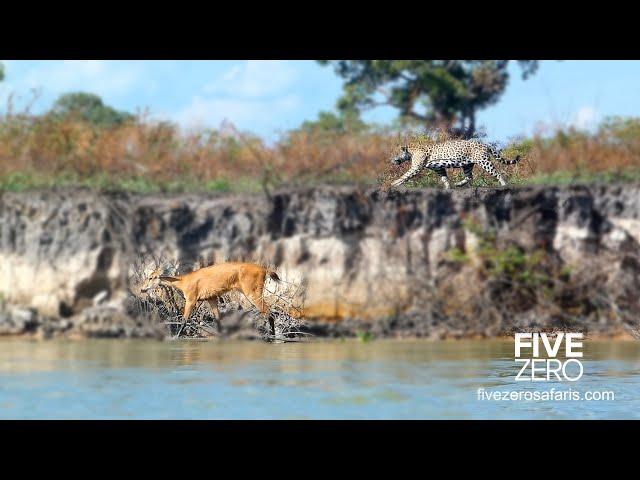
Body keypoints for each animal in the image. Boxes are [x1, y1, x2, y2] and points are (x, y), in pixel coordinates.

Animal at [141, 260, 294, 336]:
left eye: (151, 277)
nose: (142, 289)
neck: (184, 281)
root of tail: (264, 270)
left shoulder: (191, 299)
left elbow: (184, 320)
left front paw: (175, 337)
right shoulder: (212, 298)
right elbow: (218, 320)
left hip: (252, 292)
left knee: (269, 314)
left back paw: (272, 336)